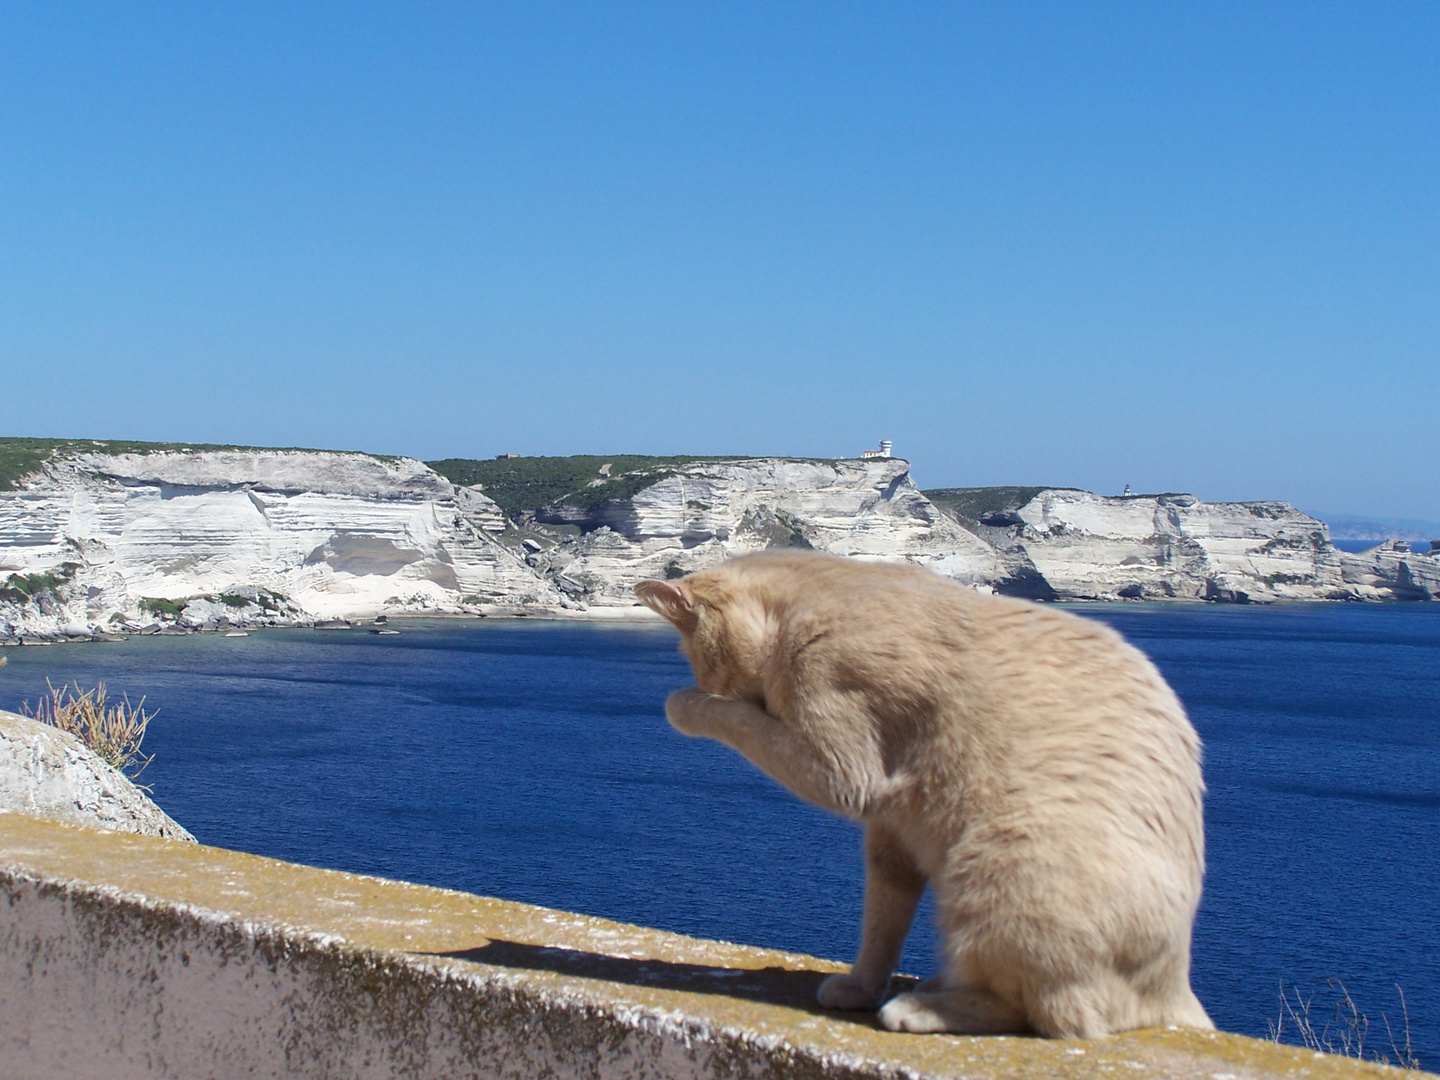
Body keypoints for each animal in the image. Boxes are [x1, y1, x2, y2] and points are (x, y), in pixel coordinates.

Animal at [636, 552, 1209, 1036]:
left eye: (705, 669)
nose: (713, 685)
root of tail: (1175, 989)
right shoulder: (891, 832)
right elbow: (881, 925)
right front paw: (862, 986)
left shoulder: (841, 766)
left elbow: (722, 717)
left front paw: (686, 704)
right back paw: (932, 986)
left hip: (998, 862)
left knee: (1054, 1014)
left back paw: (921, 1007)